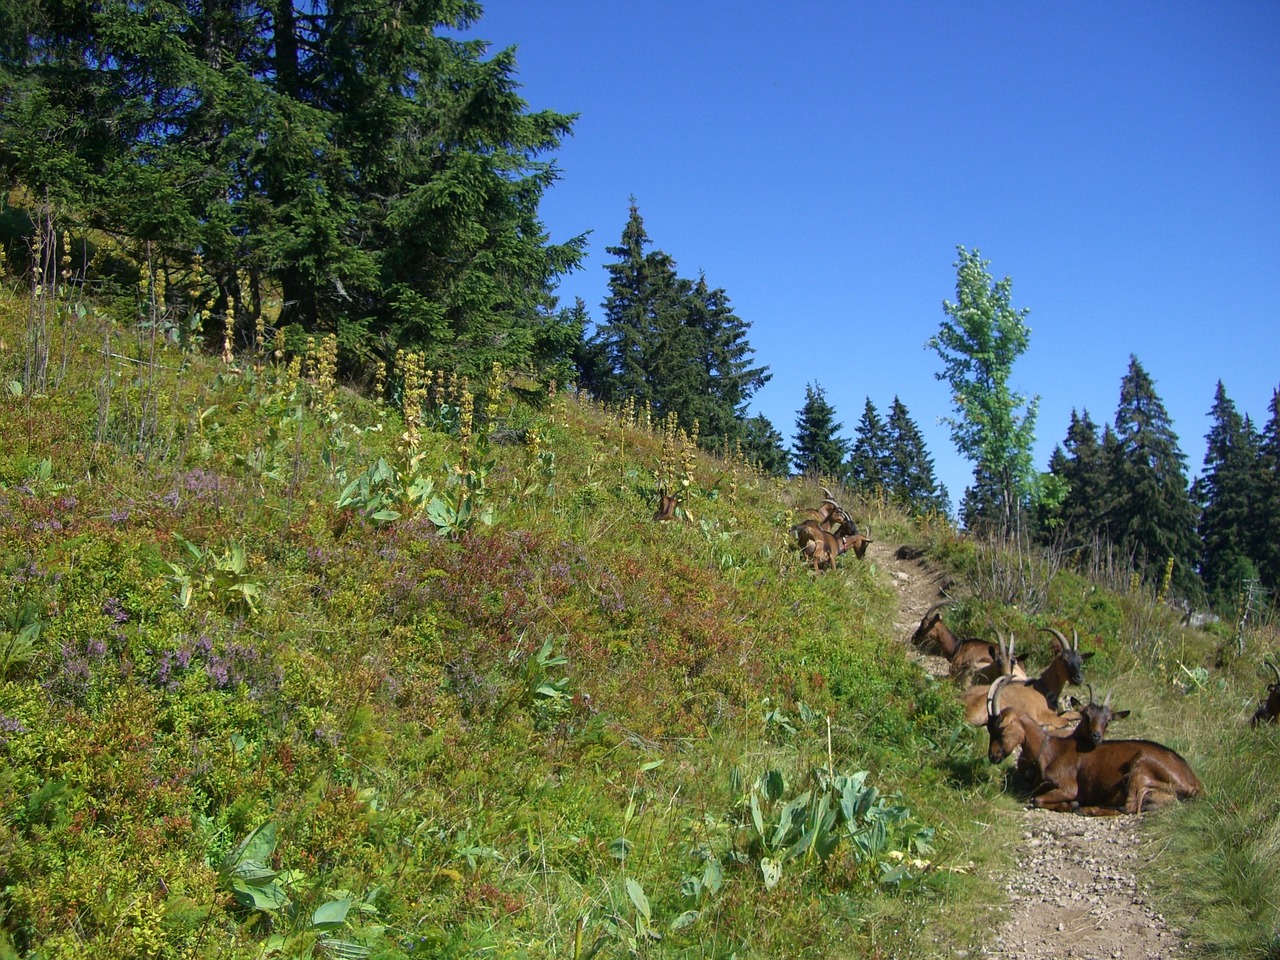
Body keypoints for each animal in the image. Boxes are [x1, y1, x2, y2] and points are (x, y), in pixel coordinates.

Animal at [962, 627, 1090, 727]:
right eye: (1064, 659)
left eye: (1080, 660)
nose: (1079, 678)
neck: (1043, 688)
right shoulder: (1046, 716)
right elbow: (1064, 721)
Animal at [983, 675, 1203, 819]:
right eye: (988, 728)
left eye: (1001, 728)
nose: (992, 756)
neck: (1049, 750)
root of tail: (1194, 784)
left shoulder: (1068, 787)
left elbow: (1037, 799)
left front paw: (1072, 804)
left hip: (1139, 770)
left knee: (1128, 807)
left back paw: (1085, 808)